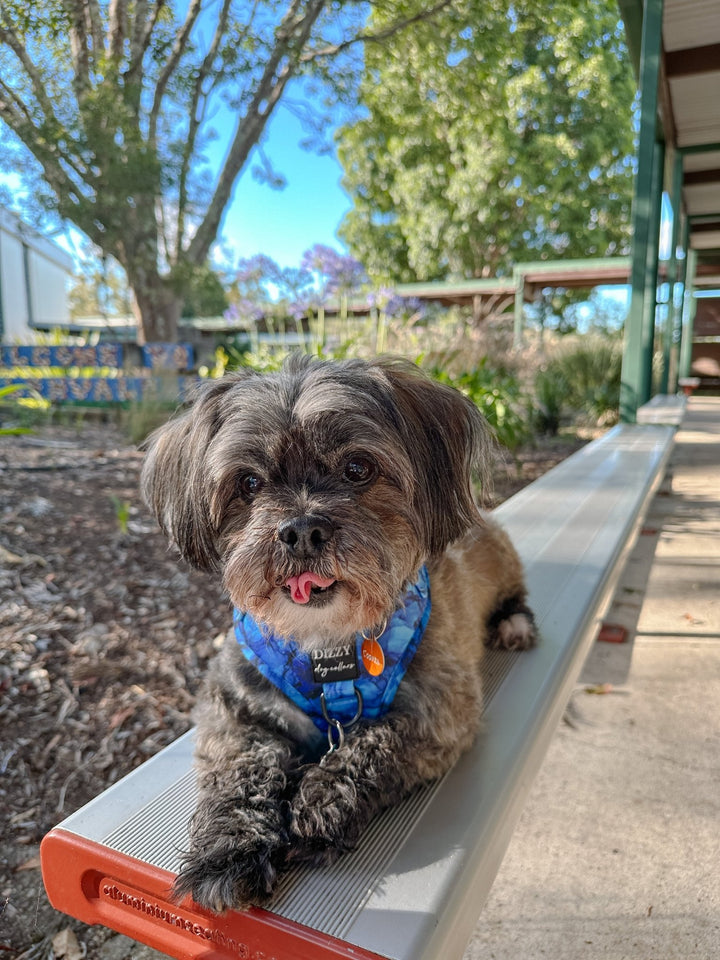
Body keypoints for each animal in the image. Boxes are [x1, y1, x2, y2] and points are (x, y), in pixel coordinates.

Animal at [139, 356, 536, 912]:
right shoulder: (229, 705)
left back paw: (514, 622)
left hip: (500, 557)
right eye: (248, 482)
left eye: (358, 468)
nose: (301, 530)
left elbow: (376, 740)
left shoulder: (442, 712)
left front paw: (321, 802)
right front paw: (228, 847)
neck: (325, 646)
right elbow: (240, 767)